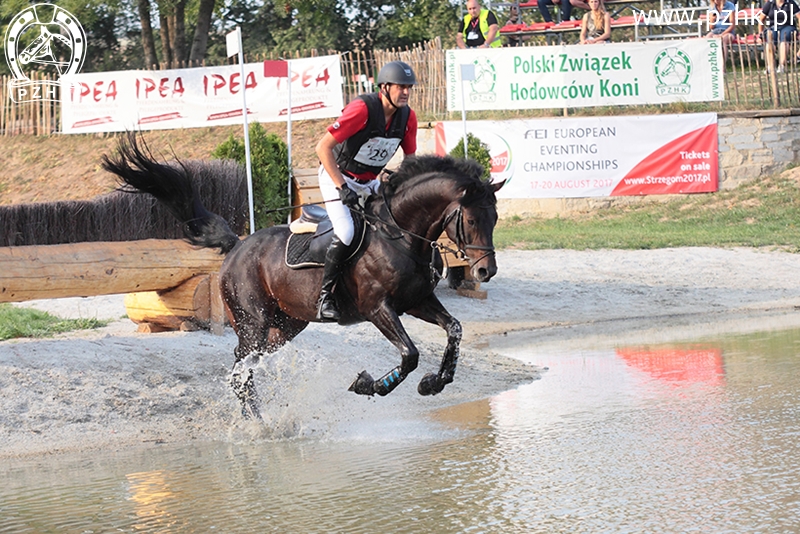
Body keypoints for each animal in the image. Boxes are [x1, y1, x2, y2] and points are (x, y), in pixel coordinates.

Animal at [103, 134, 504, 418]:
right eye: (471, 219)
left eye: (495, 218)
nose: (486, 270)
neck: (400, 235)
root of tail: (237, 246)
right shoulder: (378, 308)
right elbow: (410, 354)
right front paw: (369, 385)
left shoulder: (417, 301)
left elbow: (454, 330)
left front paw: (435, 383)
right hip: (253, 321)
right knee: (240, 367)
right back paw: (257, 422)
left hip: (285, 326)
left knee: (245, 365)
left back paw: (260, 418)